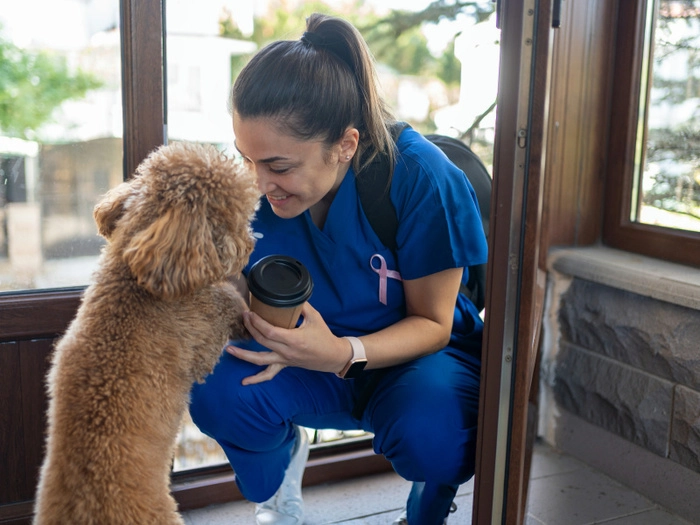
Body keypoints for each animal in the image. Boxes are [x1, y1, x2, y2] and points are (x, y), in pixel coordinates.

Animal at [30, 141, 260, 520]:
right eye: (234, 217)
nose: (251, 242)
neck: (132, 282)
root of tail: (84, 510)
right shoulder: (204, 335)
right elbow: (225, 303)